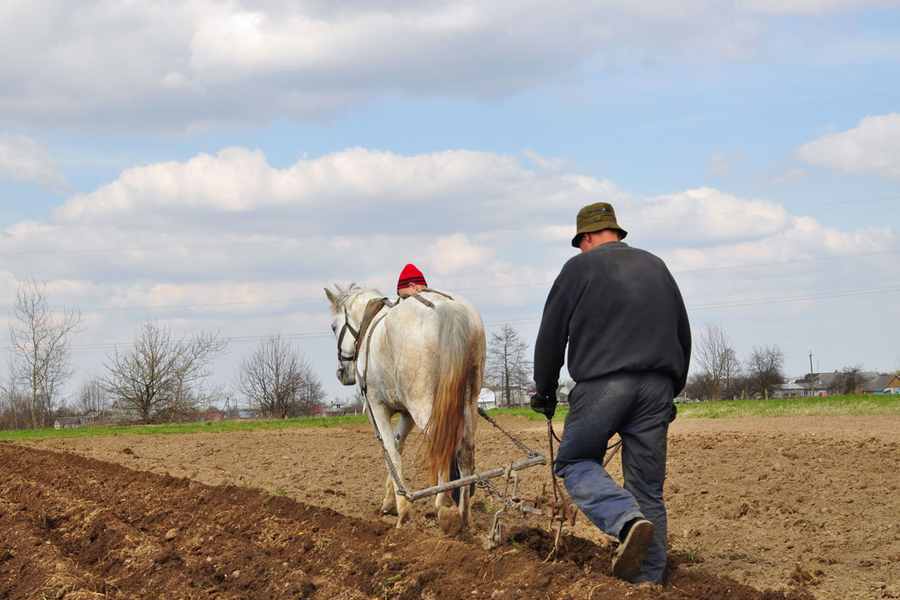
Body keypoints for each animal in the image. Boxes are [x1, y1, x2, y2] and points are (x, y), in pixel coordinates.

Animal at [326, 284, 486, 528]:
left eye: (334, 327)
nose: (341, 373)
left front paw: (403, 511)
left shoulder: (376, 408)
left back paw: (443, 505)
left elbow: (390, 451)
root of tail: (449, 310)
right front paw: (389, 502)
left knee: (443, 444)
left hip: (424, 405)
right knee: (465, 450)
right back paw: (464, 513)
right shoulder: (406, 414)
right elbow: (398, 444)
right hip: (469, 401)